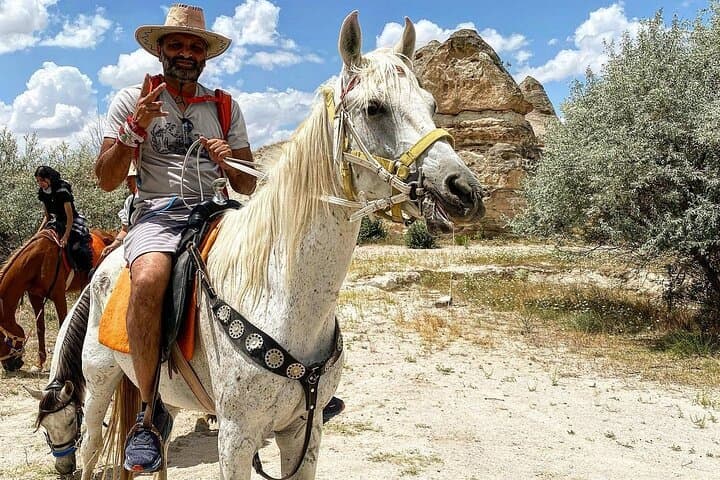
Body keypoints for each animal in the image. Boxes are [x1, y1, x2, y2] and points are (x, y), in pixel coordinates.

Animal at [0, 228, 115, 371]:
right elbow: (40, 328)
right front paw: (40, 363)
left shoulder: (58, 295)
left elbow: (63, 325)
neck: (38, 262)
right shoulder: (35, 297)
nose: (9, 366)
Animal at [31, 12, 485, 479]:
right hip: (101, 380)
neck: (278, 293)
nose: (464, 191)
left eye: (431, 105)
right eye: (375, 108)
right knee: (93, 446)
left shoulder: (304, 431)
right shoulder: (236, 438)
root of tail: (105, 267)